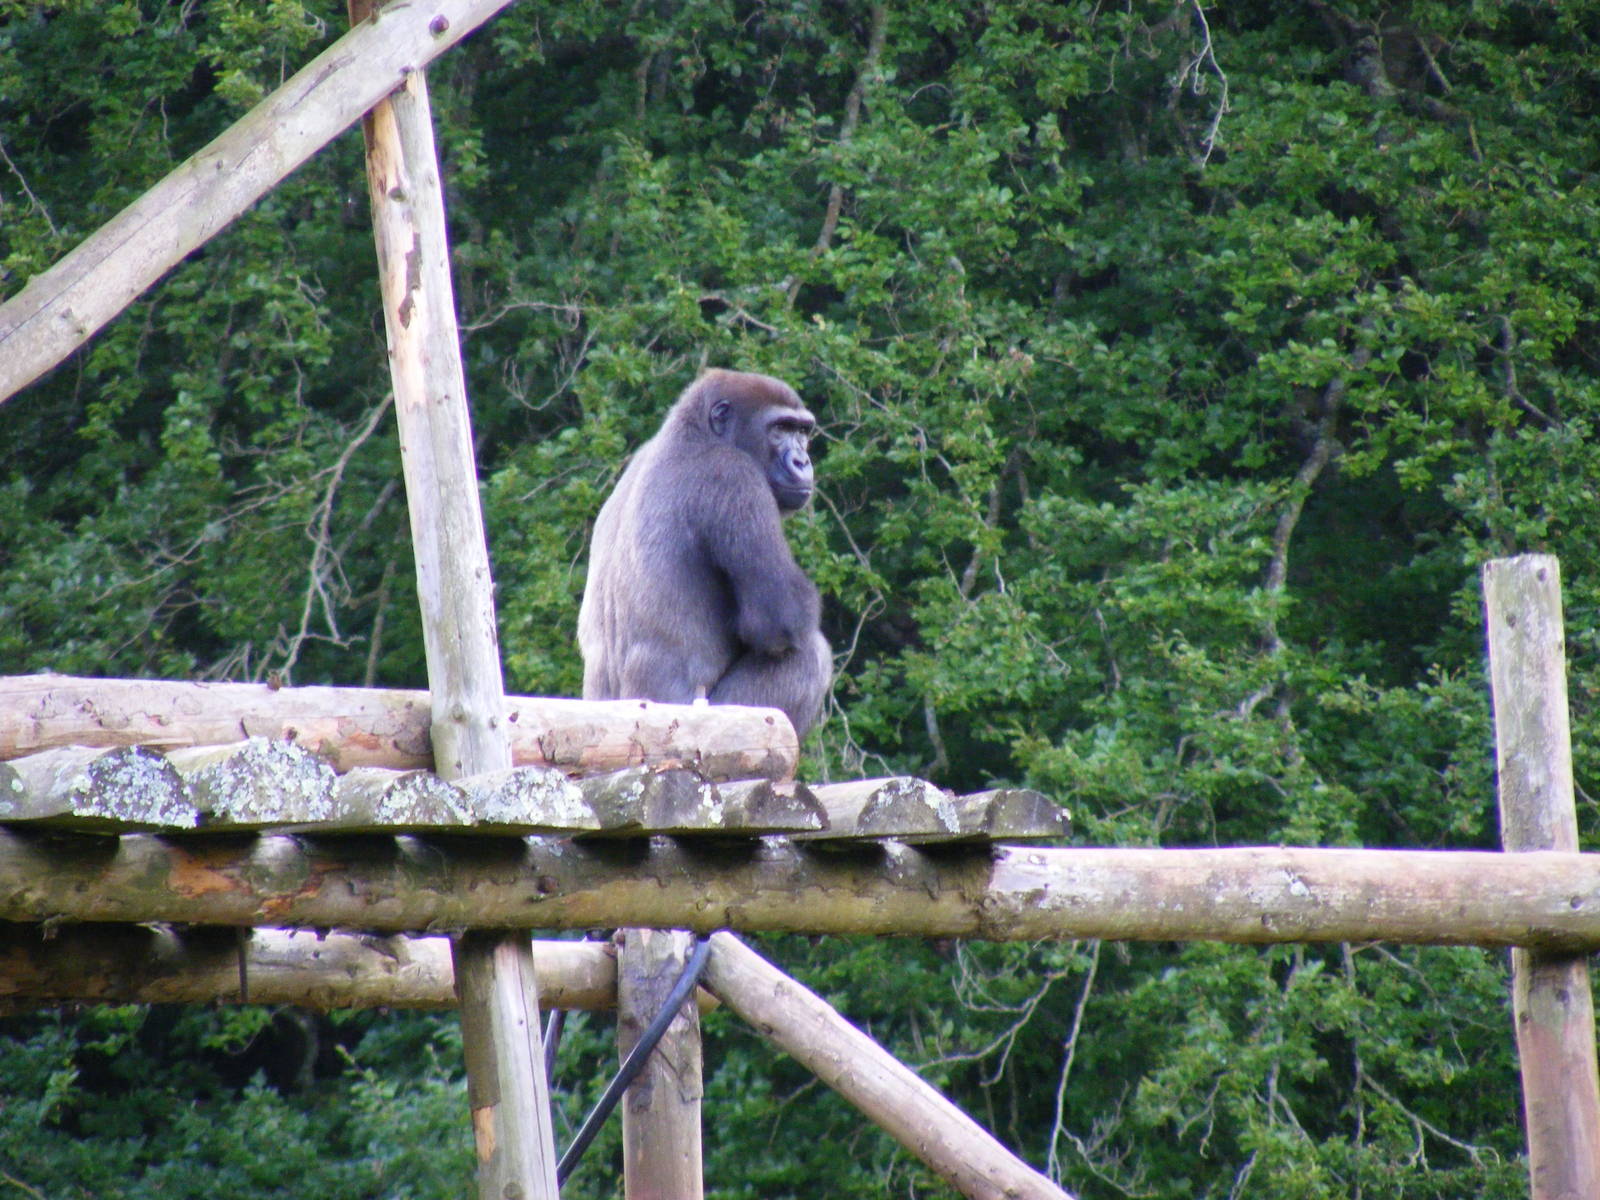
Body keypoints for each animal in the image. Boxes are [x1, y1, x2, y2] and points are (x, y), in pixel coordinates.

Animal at [577, 369, 832, 737]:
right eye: (780, 429)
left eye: (802, 432)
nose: (803, 461)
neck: (692, 432)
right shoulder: (733, 476)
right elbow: (782, 621)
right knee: (811, 656)